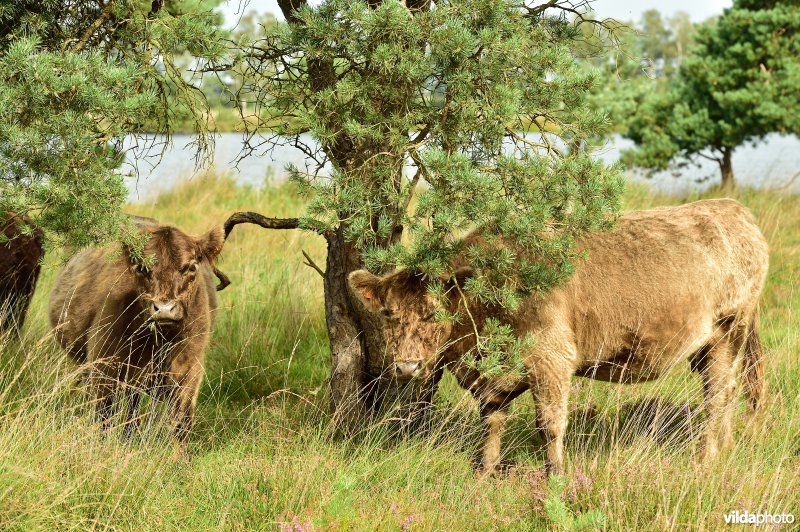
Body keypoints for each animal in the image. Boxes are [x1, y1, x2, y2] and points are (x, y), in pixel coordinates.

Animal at [48, 218, 225, 446]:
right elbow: (105, 418)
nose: (164, 309)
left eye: (191, 267)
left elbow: (181, 421)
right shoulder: (104, 370)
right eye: (142, 267)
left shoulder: (188, 370)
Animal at [348, 198, 768, 474]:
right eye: (388, 313)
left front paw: (556, 475)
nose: (406, 366)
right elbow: (492, 419)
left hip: (730, 330)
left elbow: (550, 423)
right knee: (725, 392)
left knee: (718, 395)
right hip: (710, 345)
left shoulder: (550, 358)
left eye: (434, 312)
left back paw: (705, 459)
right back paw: (725, 448)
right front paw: (485, 470)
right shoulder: (489, 379)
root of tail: (731, 207)